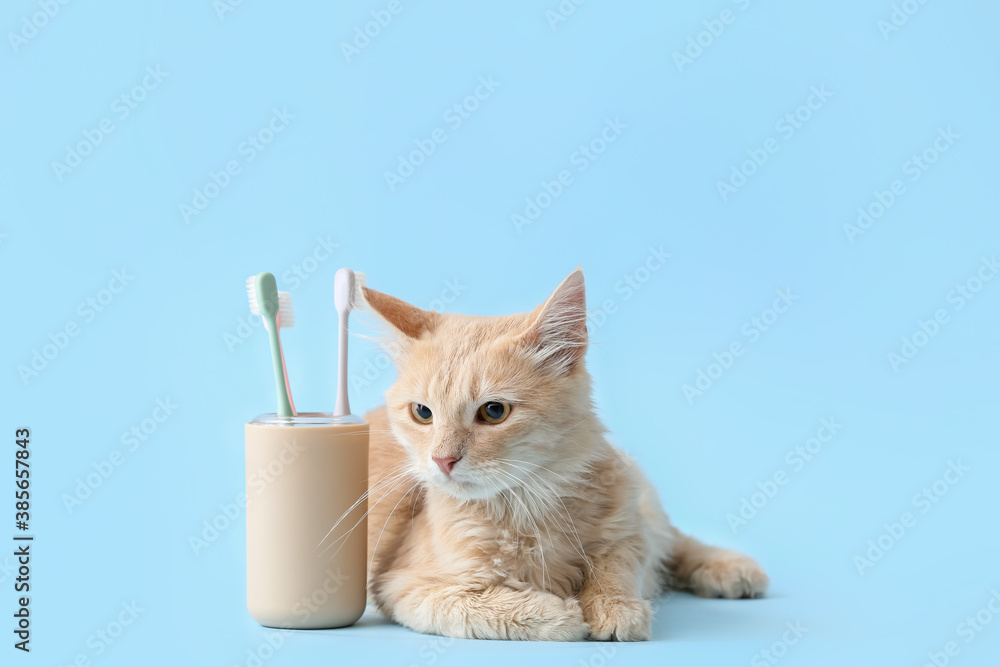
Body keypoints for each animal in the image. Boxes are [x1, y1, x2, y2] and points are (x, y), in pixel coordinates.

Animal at [358, 268, 764, 640]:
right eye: (422, 413)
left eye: (494, 412)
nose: (442, 460)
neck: (527, 507)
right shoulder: (406, 587)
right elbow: (483, 606)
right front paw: (561, 613)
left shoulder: (626, 527)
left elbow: (618, 563)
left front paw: (615, 608)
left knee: (675, 541)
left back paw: (731, 569)